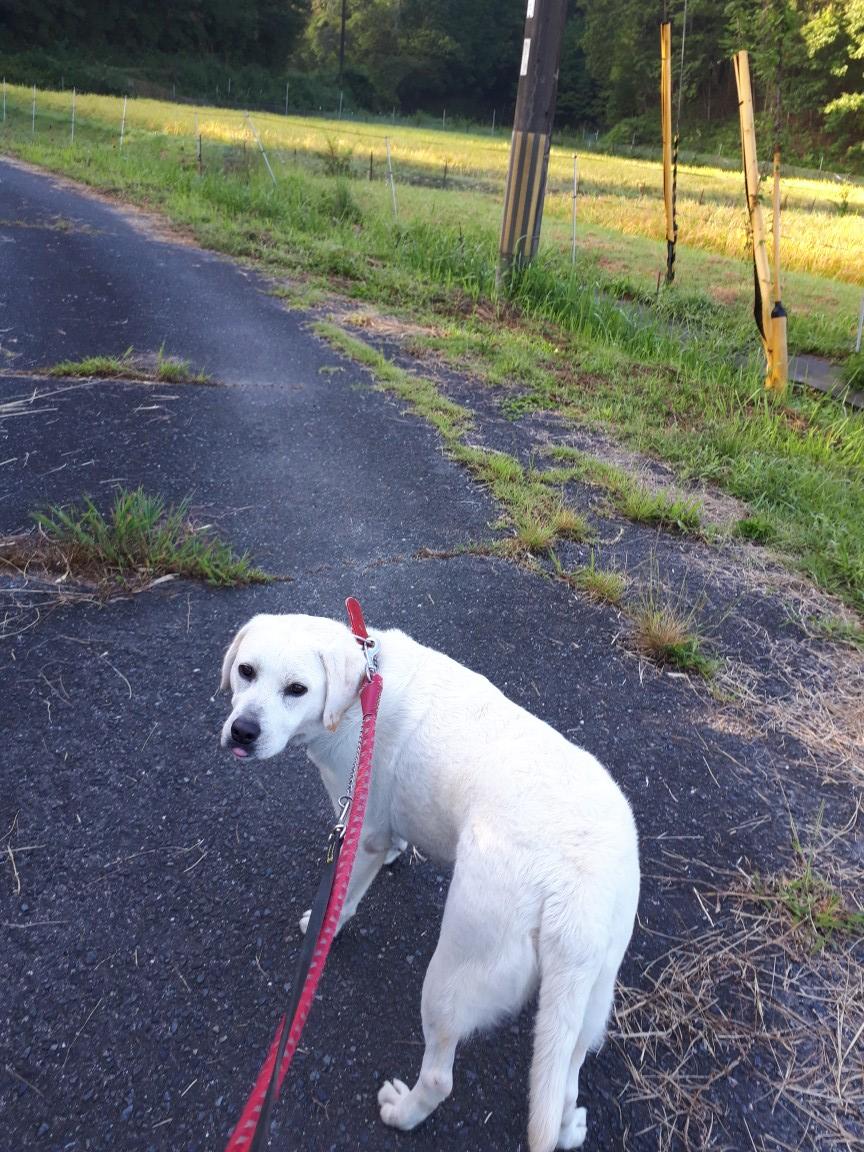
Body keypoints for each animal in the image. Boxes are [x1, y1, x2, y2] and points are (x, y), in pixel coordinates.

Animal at [220, 613, 639, 1151]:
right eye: (246, 671)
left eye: (297, 689)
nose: (243, 731)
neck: (362, 690)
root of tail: (575, 897)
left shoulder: (361, 830)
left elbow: (344, 896)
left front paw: (323, 924)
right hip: (587, 1002)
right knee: (565, 1080)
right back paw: (569, 1128)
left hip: (451, 978)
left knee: (441, 1077)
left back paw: (403, 1112)